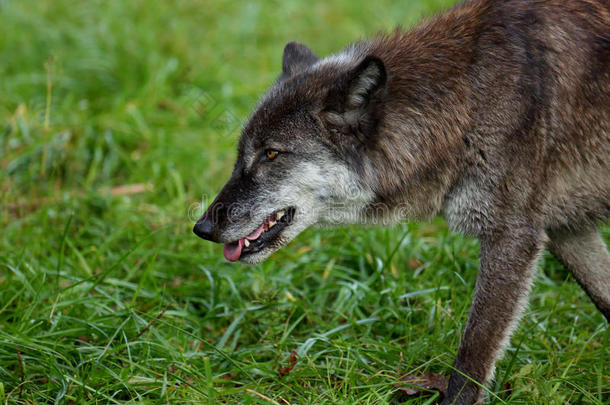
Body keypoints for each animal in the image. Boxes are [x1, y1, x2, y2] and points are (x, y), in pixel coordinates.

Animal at [194, 0, 608, 400]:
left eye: (271, 154)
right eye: (240, 156)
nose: (201, 228)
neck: (470, 97)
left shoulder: (512, 237)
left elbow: (470, 362)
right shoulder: (566, 231)